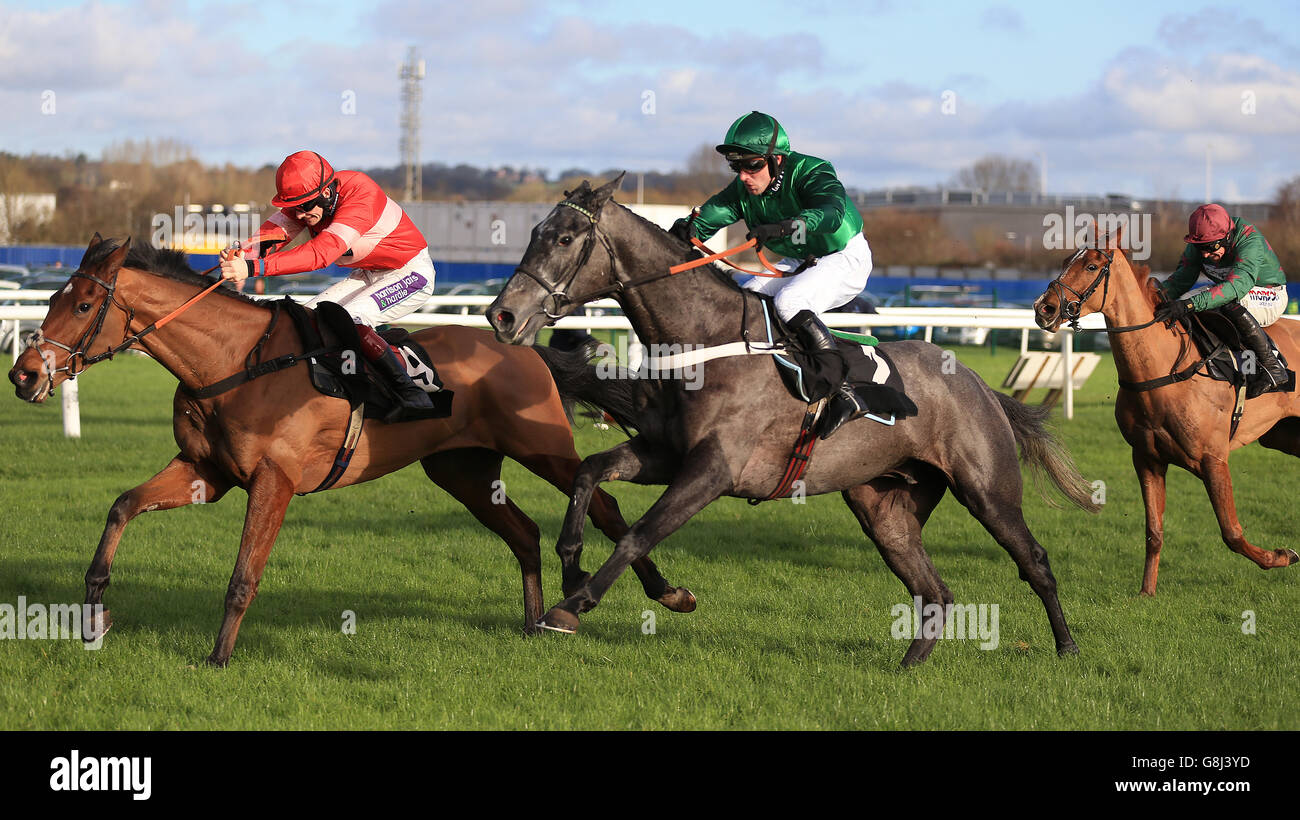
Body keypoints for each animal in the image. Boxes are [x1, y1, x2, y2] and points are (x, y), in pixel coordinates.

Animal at [5, 235, 696, 665]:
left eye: (85, 304)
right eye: (54, 298)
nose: (24, 374)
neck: (232, 363)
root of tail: (522, 346)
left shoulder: (273, 480)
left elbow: (243, 575)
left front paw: (218, 656)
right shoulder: (205, 470)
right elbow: (122, 506)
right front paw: (95, 615)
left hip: (543, 448)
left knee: (603, 505)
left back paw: (663, 595)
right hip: (462, 471)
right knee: (524, 533)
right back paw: (533, 622)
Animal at [1034, 231, 1300, 597]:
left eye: (1091, 266)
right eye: (1064, 261)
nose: (1043, 307)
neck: (1162, 370)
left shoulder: (1212, 460)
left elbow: (1231, 532)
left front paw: (1281, 556)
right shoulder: (1147, 458)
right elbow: (1154, 531)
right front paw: (1147, 592)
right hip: (1284, 437)